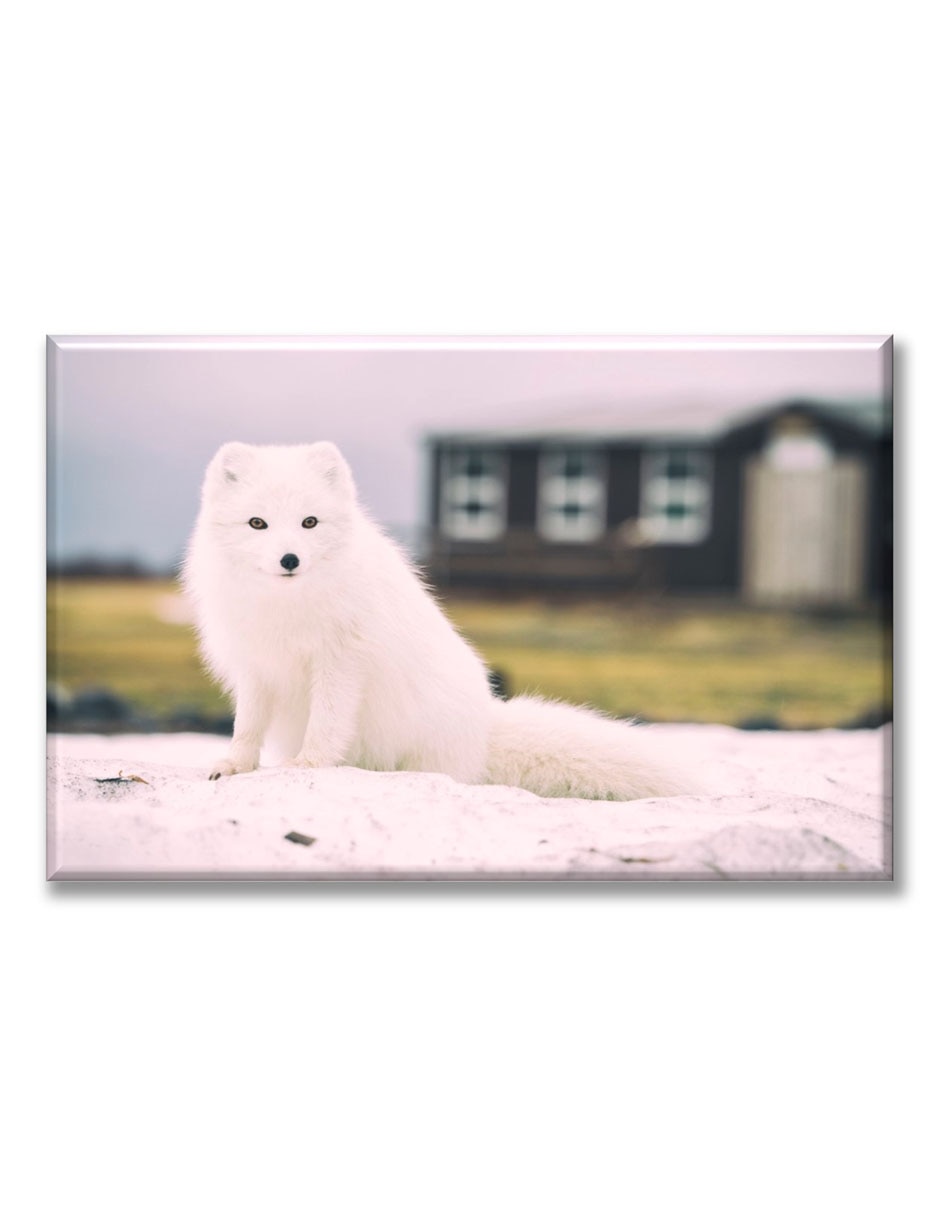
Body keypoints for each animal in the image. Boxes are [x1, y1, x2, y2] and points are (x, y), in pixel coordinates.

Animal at [182, 441, 696, 799]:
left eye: (309, 522)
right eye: (257, 523)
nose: (289, 560)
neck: (286, 606)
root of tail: (483, 729)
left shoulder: (340, 662)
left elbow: (326, 723)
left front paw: (308, 765)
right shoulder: (255, 667)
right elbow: (246, 725)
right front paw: (233, 765)